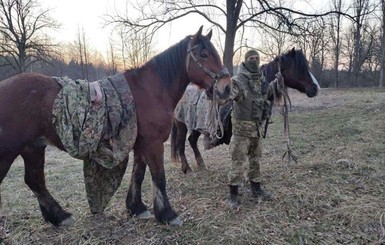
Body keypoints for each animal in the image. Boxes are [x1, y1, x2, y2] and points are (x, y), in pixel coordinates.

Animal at [0, 26, 230, 226]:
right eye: (203, 54)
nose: (226, 88)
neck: (150, 91)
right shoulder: (153, 144)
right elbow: (158, 177)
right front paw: (167, 214)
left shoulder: (141, 144)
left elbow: (138, 174)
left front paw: (137, 208)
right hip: (10, 151)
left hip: (33, 148)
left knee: (35, 180)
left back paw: (59, 216)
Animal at [170, 47, 318, 173]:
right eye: (299, 68)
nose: (315, 88)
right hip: (182, 125)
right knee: (181, 145)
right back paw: (187, 169)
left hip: (196, 126)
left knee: (192, 141)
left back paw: (201, 164)